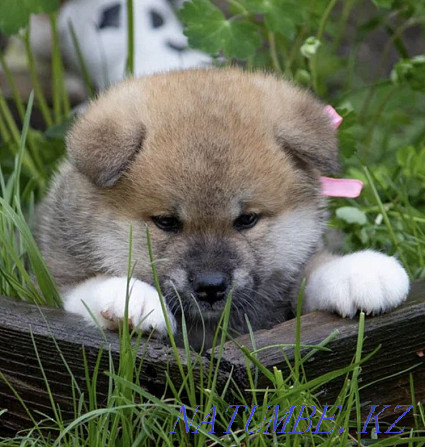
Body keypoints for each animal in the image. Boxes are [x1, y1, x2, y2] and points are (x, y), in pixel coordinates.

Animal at [34, 68, 410, 348]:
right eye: (166, 222)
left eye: (247, 220)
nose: (211, 286)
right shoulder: (56, 279)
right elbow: (86, 287)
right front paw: (133, 299)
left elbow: (312, 268)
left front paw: (358, 272)